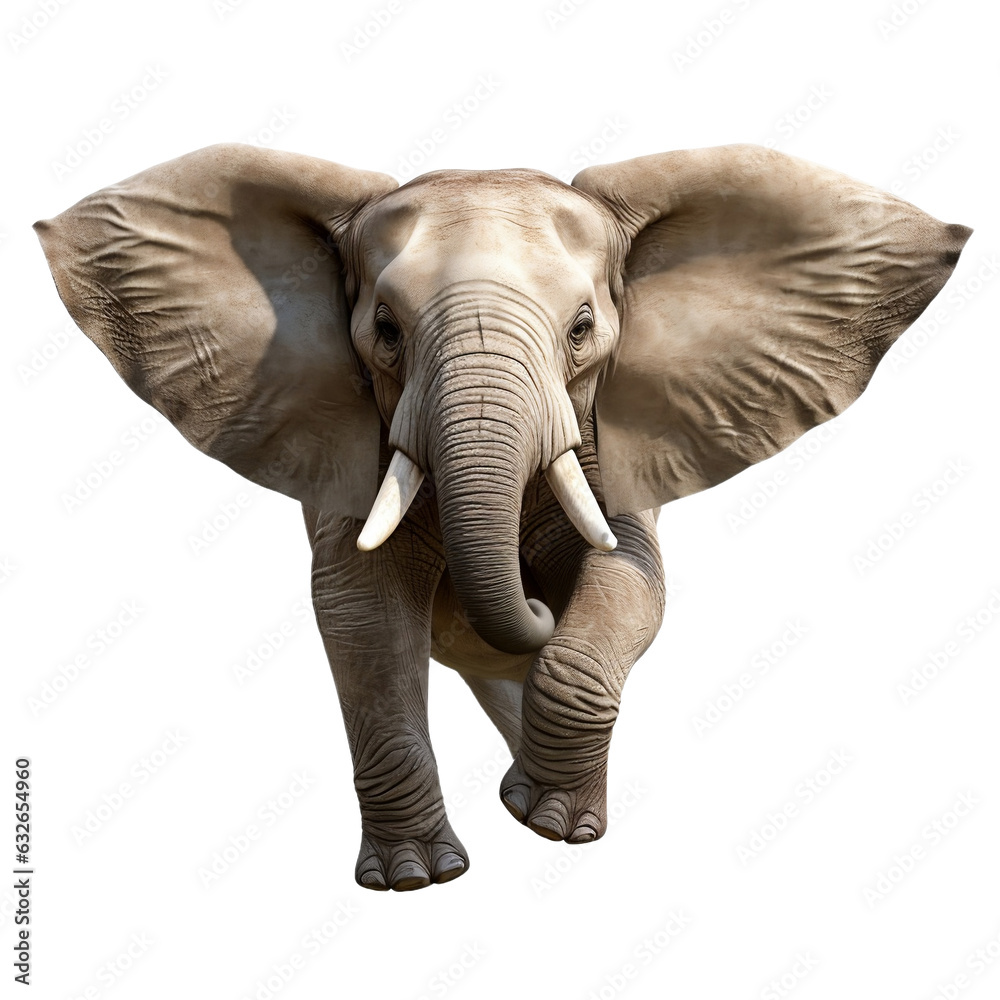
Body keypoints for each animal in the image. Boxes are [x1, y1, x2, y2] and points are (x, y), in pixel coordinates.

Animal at [35, 142, 970, 891]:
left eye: (583, 328)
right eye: (385, 329)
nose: (535, 601)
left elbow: (632, 580)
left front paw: (556, 827)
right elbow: (360, 614)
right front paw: (416, 879)